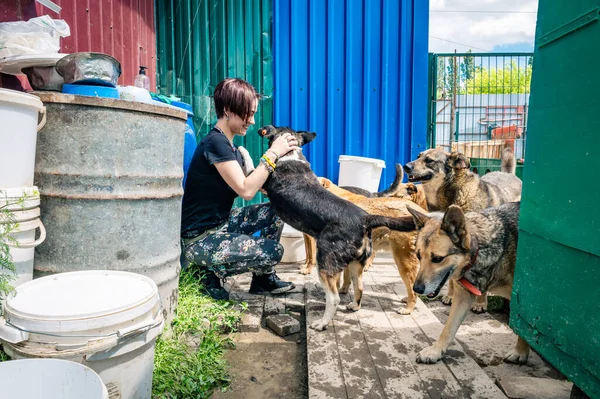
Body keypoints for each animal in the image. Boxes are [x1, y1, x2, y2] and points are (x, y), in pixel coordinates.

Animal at [302, 178, 428, 316]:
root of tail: (424, 215)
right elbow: (347, 278)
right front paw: (344, 290)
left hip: (403, 260)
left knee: (412, 288)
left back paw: (408, 308)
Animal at [404, 148, 520, 314]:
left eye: (429, 160)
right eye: (418, 156)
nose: (406, 166)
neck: (450, 197)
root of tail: (508, 174)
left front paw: (480, 303)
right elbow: (451, 277)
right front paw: (450, 296)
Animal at [406, 203, 528, 366]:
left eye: (438, 259)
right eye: (418, 256)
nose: (416, 289)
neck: (480, 249)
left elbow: (525, 327)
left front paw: (520, 352)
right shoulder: (462, 297)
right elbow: (448, 328)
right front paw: (435, 351)